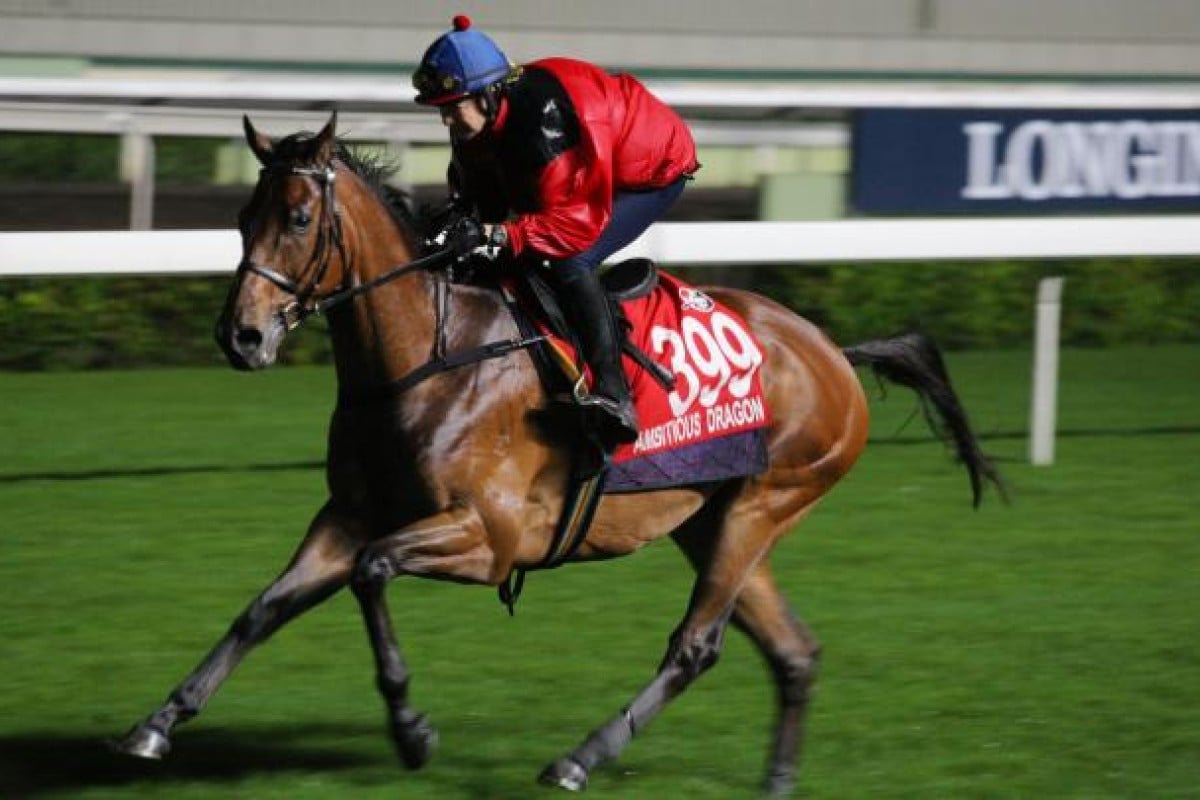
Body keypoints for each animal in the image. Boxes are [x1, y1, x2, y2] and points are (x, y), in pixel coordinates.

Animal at [112, 112, 998, 796]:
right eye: (240, 217)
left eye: (298, 219)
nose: (240, 336)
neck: (426, 358)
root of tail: (835, 354)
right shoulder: (349, 513)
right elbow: (263, 607)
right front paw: (157, 723)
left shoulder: (490, 538)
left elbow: (372, 573)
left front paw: (411, 729)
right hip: (712, 519)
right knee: (793, 650)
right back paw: (776, 779)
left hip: (764, 503)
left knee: (695, 646)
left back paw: (578, 759)